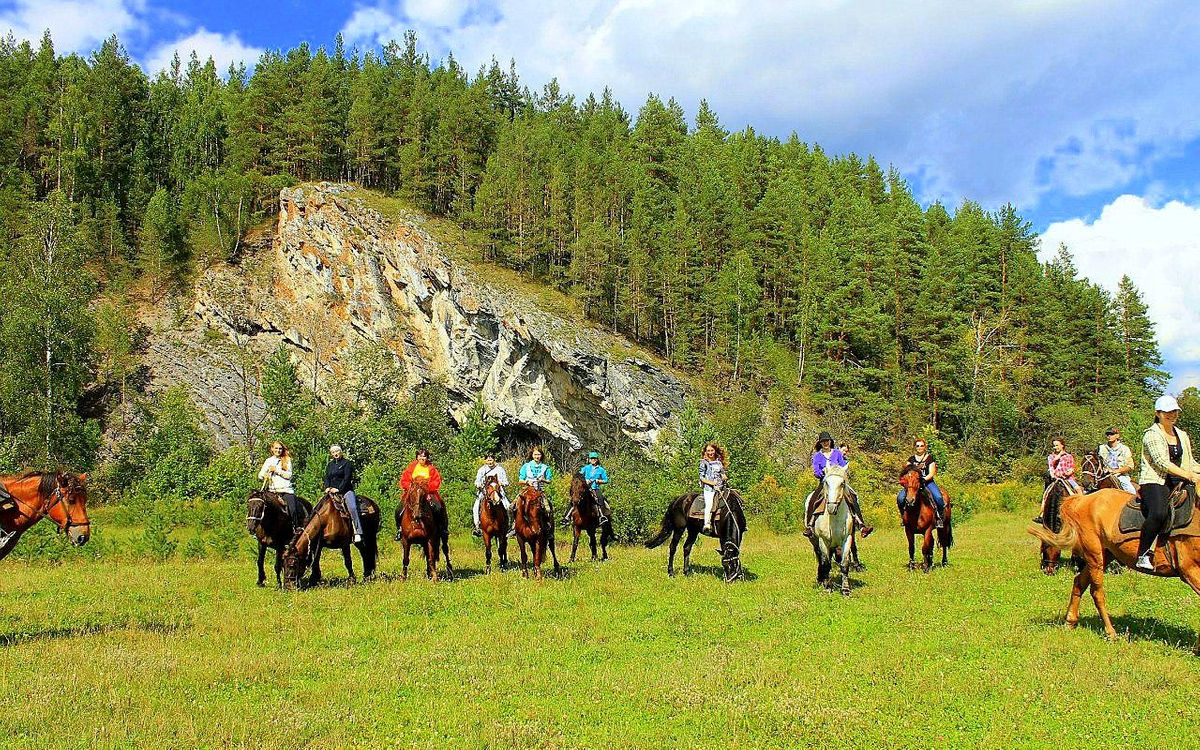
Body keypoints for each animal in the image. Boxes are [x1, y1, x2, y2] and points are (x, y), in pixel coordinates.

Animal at [1028, 486, 1200, 653]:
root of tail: (1082, 500)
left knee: (1079, 583)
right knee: (1096, 593)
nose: (1048, 568)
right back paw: (1111, 633)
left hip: (1105, 555)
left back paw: (1069, 622)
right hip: (1094, 555)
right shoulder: (1190, 571)